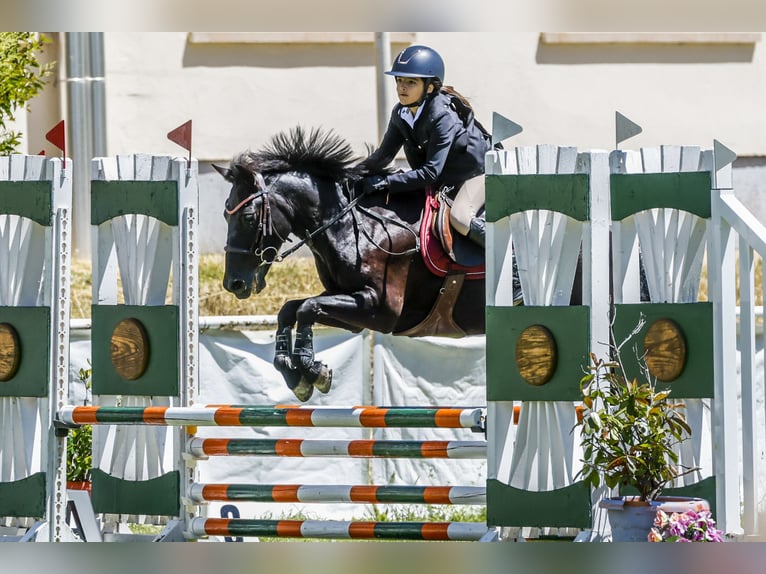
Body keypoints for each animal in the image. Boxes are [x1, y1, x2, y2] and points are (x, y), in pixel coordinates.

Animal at [214, 127, 486, 402]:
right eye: (225, 215)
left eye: (248, 217)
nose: (233, 283)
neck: (350, 225)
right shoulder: (348, 304)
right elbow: (291, 309)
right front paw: (294, 372)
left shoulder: (381, 310)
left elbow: (307, 308)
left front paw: (311, 370)